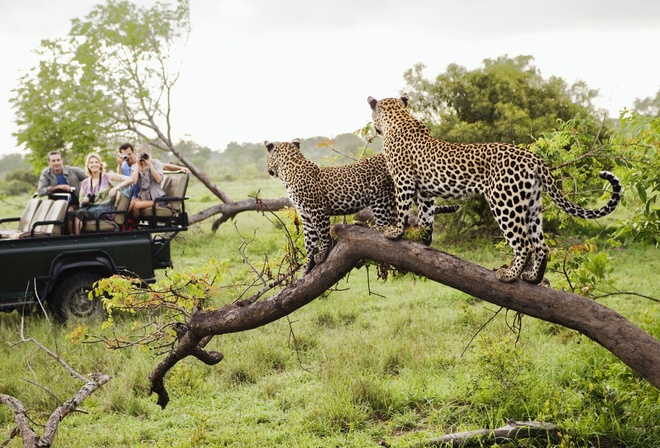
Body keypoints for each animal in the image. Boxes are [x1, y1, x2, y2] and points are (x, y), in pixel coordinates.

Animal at [264, 139, 458, 272]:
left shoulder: (317, 210)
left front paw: (323, 254)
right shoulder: (305, 214)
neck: (288, 172)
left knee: (384, 224)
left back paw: (367, 226)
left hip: (380, 196)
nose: (268, 170)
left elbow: (323, 234)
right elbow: (309, 241)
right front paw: (307, 265)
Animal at [366, 95, 624, 284]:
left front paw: (395, 232)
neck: (399, 117)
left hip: (504, 202)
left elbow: (403, 208)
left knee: (524, 244)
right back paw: (532, 277)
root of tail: (535, 158)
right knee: (541, 245)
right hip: (531, 205)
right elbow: (426, 215)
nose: (374, 128)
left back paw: (509, 275)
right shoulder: (426, 191)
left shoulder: (403, 179)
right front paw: (424, 238)